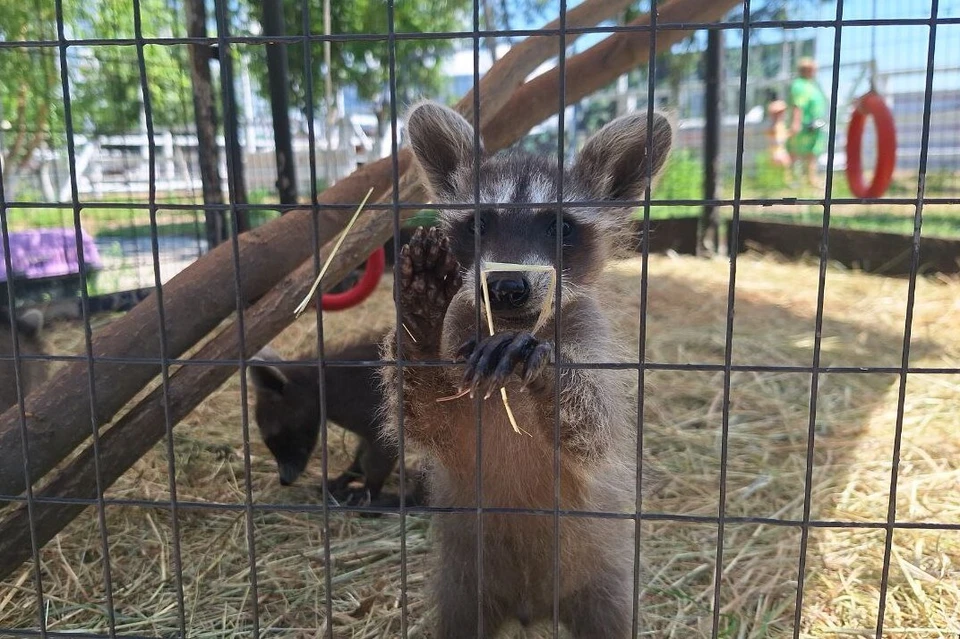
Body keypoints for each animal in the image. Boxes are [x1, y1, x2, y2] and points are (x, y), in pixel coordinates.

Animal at [378, 102, 672, 636]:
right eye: (479, 223)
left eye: (560, 227)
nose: (507, 286)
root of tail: (529, 609)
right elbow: (422, 416)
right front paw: (420, 324)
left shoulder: (597, 346)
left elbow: (595, 433)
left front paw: (547, 364)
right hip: (464, 587)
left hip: (602, 580)